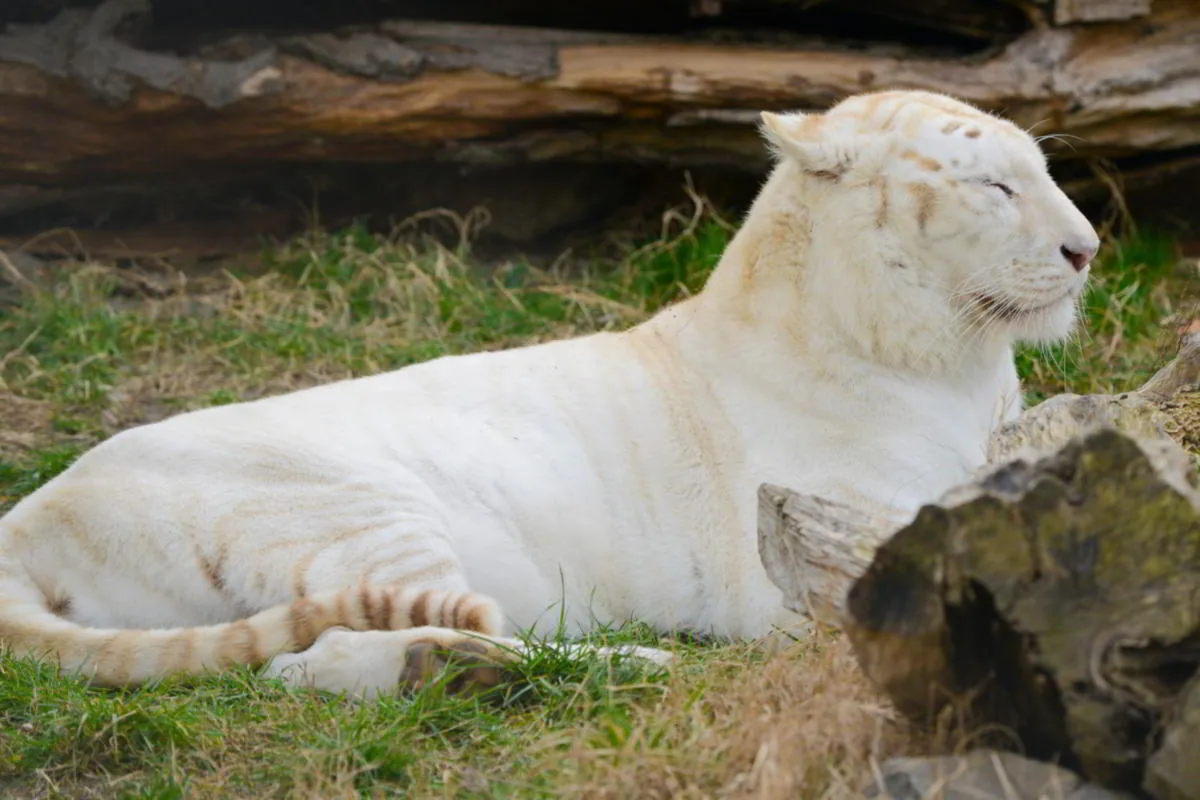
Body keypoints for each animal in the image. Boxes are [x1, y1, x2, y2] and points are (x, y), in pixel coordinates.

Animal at [0, 89, 1099, 699]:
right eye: (996, 187)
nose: (1088, 250)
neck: (957, 359)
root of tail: (33, 509)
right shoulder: (818, 555)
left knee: (307, 658)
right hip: (355, 511)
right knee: (339, 646)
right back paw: (622, 667)